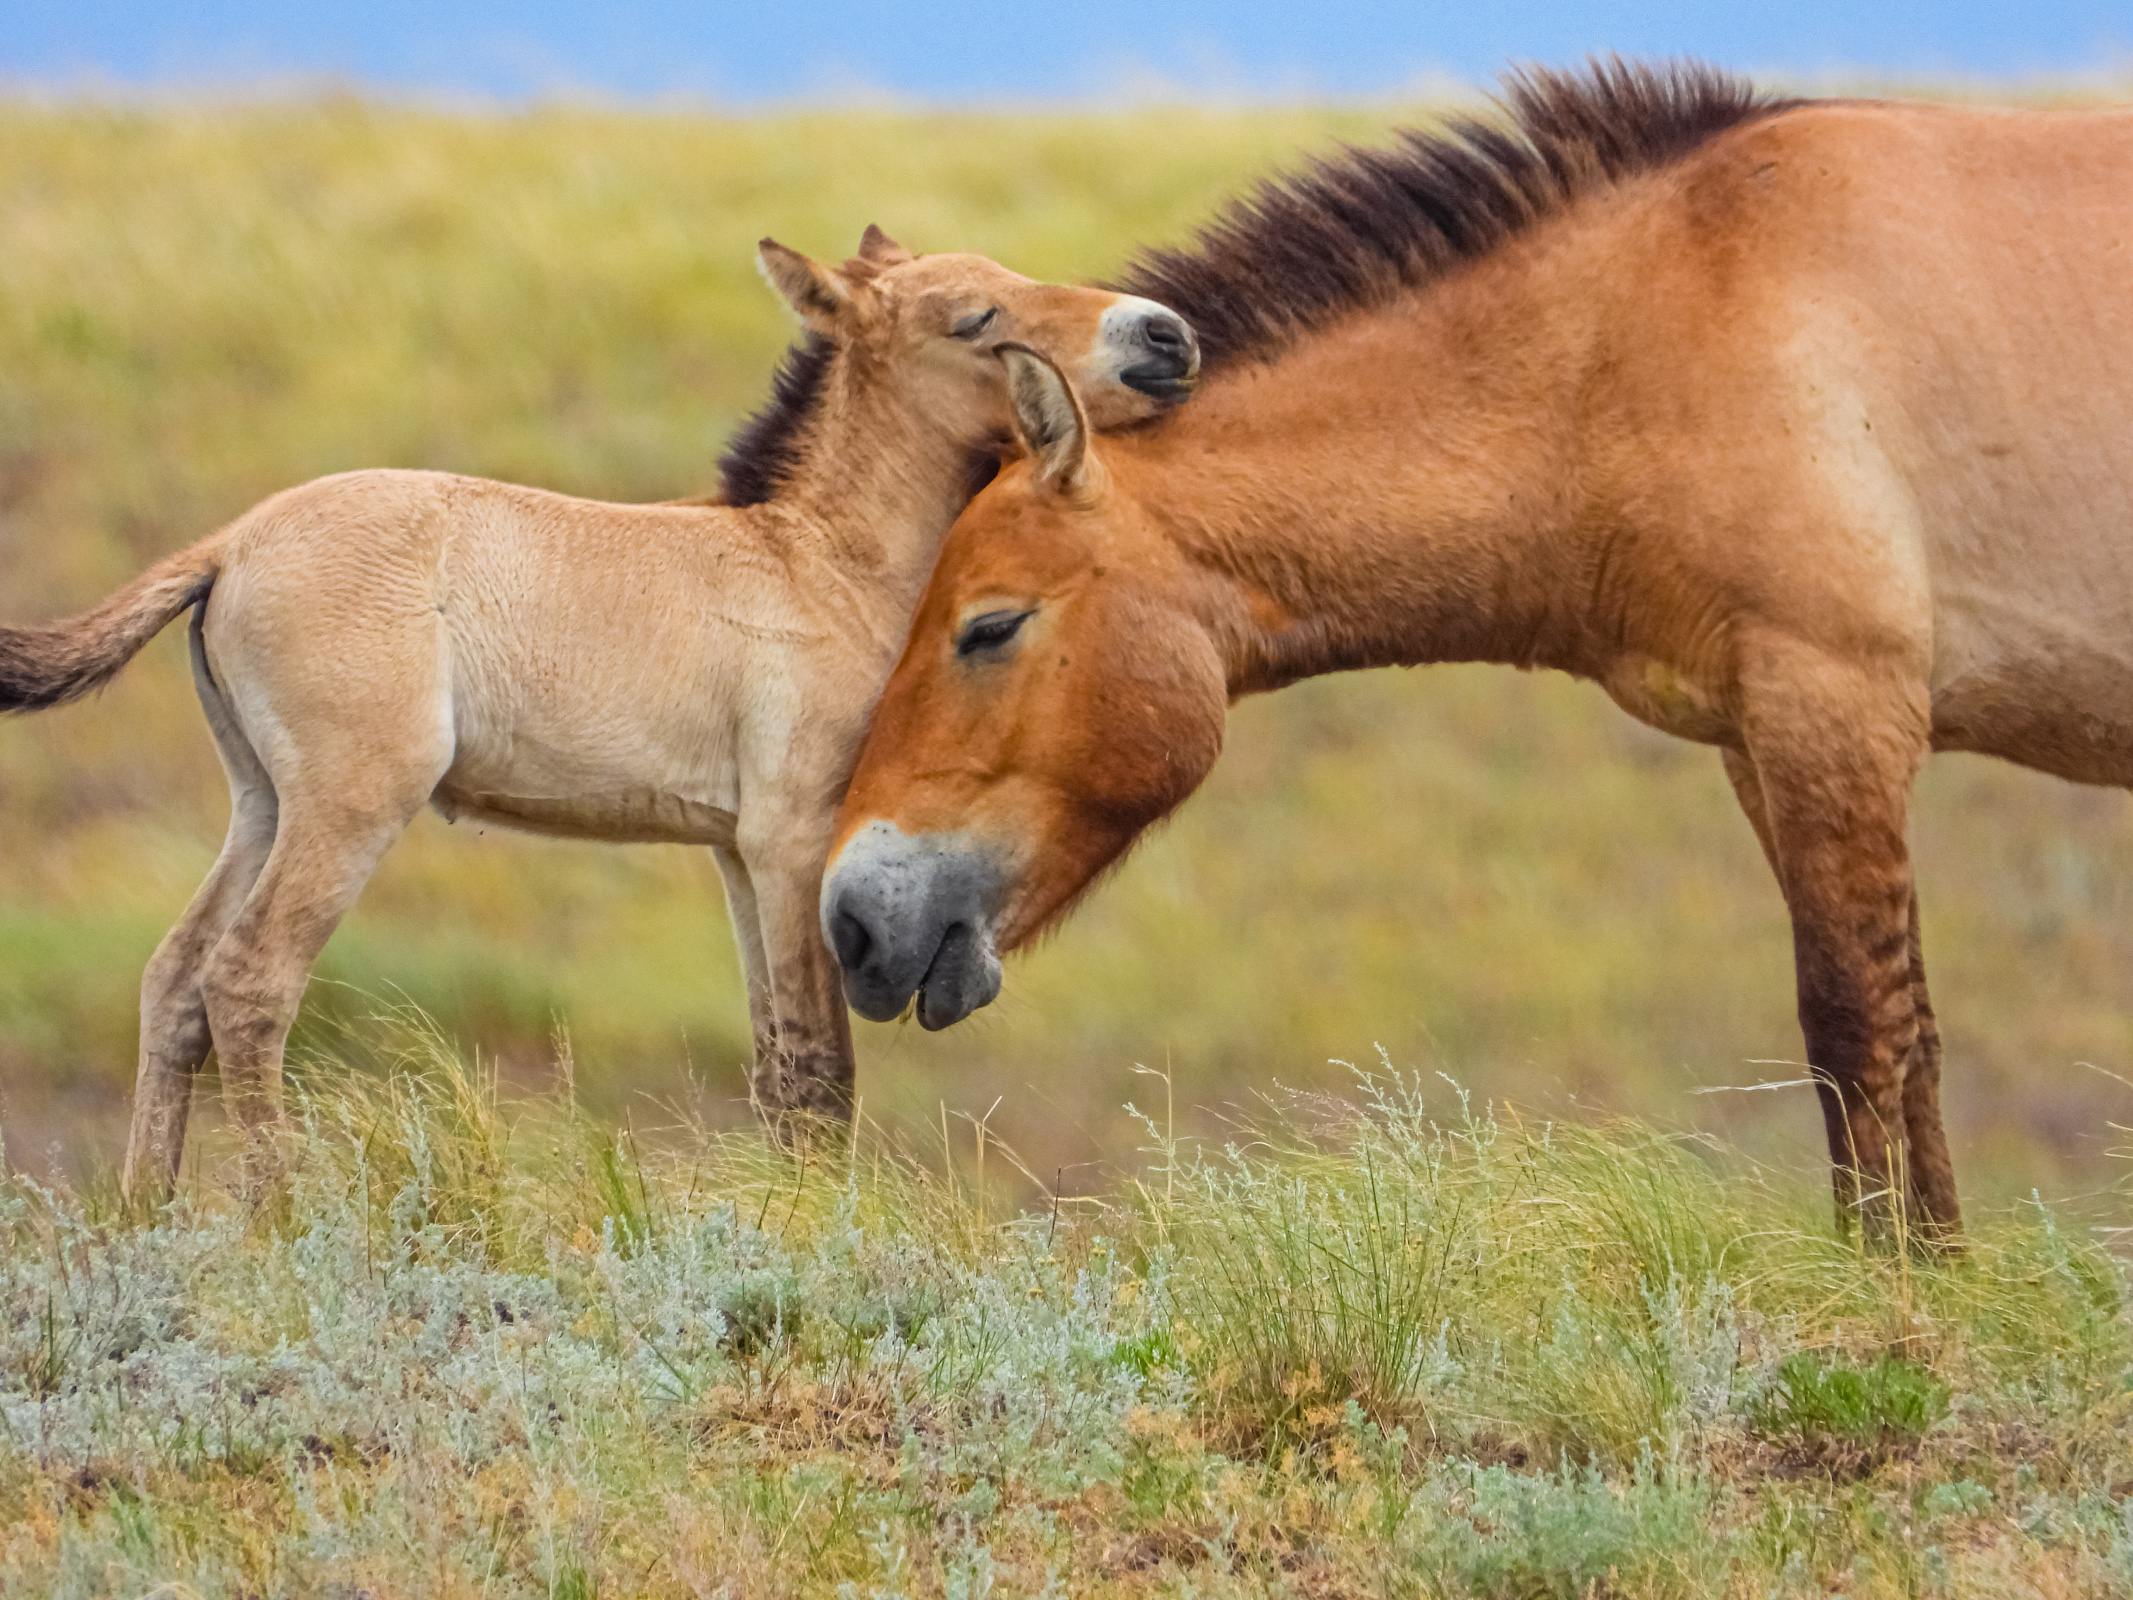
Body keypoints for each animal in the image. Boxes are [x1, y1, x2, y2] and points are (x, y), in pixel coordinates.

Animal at [0, 231, 1203, 1194]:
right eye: (975, 319)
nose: (1165, 337)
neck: (817, 562)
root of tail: (229, 546)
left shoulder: (734, 851)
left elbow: (775, 1065)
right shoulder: (794, 838)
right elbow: (819, 1072)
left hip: (261, 802)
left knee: (174, 979)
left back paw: (144, 1219)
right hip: (348, 807)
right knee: (247, 980)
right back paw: (279, 1221)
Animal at [823, 62, 2133, 1245]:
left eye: (988, 626)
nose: (851, 919)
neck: (1658, 321)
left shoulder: (1835, 713)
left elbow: (1857, 1023)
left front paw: (1899, 1304)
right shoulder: (1762, 744)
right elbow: (1907, 1034)